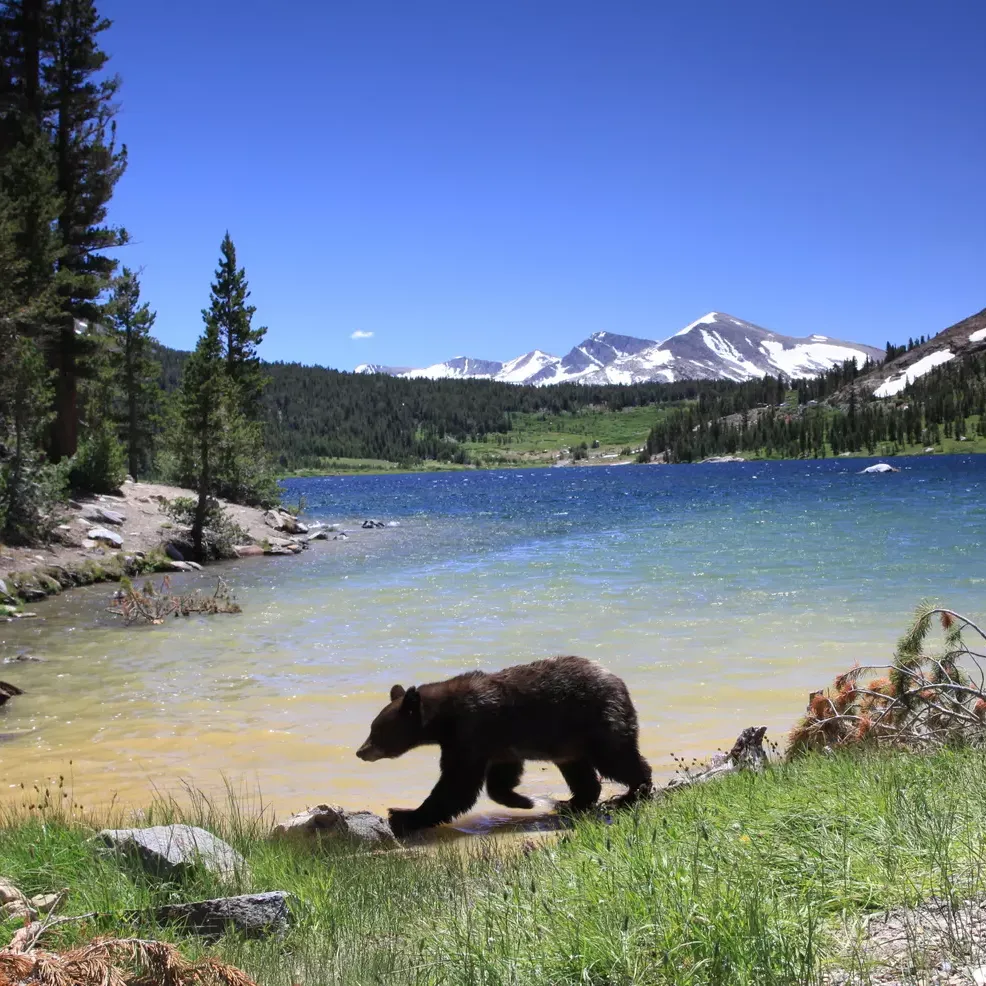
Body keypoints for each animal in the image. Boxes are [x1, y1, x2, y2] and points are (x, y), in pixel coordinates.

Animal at [356, 655, 653, 836]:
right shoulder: (498, 744)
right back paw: (571, 803)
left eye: (377, 730)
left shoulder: (470, 732)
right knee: (580, 771)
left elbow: (457, 783)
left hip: (597, 720)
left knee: (616, 758)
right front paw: (524, 800)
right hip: (568, 742)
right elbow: (499, 777)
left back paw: (632, 793)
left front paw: (404, 815)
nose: (360, 751)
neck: (443, 719)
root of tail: (618, 681)